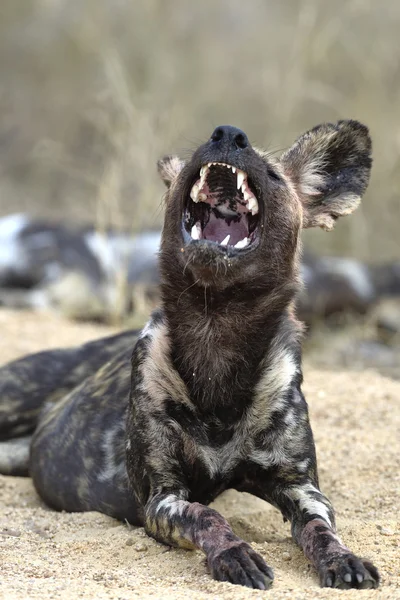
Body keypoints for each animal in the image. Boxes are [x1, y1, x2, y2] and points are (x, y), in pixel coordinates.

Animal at [0, 122, 380, 592]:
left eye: (273, 174)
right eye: (200, 151)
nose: (229, 134)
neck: (217, 342)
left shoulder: (300, 487)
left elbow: (320, 529)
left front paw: (342, 559)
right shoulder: (163, 497)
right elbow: (208, 516)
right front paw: (235, 555)